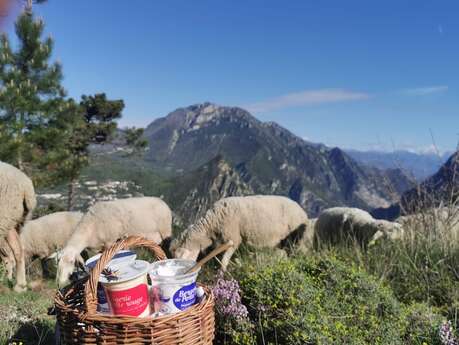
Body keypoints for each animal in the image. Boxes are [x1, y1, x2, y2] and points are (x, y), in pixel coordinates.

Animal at [170, 194, 310, 268]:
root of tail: (303, 212)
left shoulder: (233, 237)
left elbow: (224, 261)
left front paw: (221, 275)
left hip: (296, 239)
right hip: (285, 242)